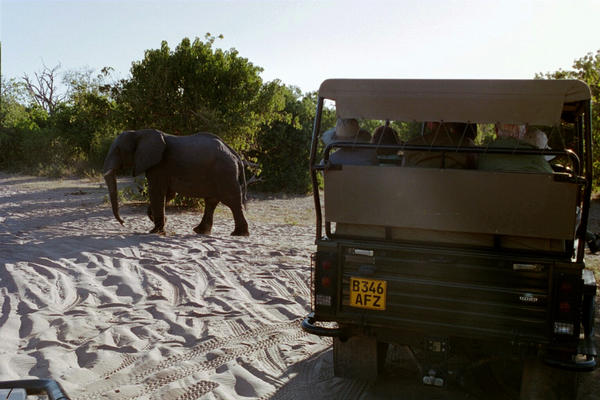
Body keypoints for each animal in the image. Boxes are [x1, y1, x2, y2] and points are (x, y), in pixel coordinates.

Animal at [104, 128, 250, 236]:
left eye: (118, 150)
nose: (123, 223)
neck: (139, 133)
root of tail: (234, 154)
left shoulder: (159, 165)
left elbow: (157, 192)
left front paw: (155, 231)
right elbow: (168, 194)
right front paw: (161, 222)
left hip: (224, 172)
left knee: (231, 201)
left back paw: (238, 234)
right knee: (212, 201)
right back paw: (200, 231)